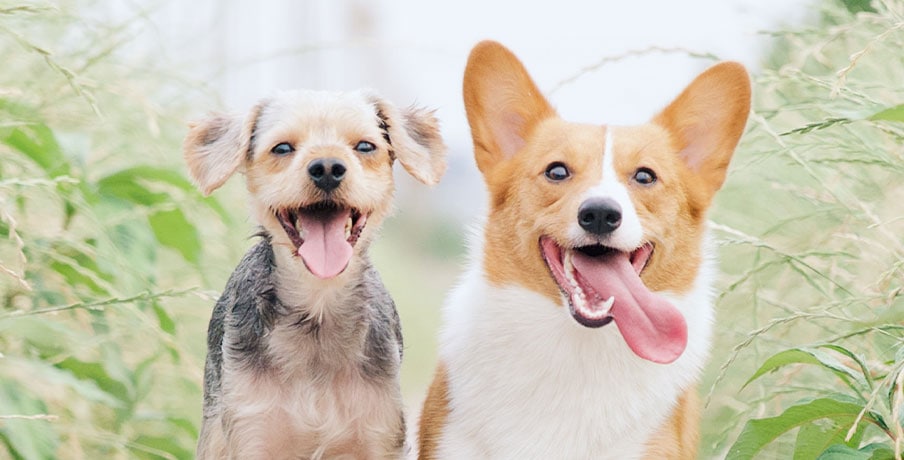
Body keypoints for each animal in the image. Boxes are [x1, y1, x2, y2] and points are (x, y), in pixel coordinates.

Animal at [185, 90, 448, 460]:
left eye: (365, 146)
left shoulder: (378, 435)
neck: (317, 310)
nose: (326, 168)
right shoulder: (253, 429)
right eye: (282, 148)